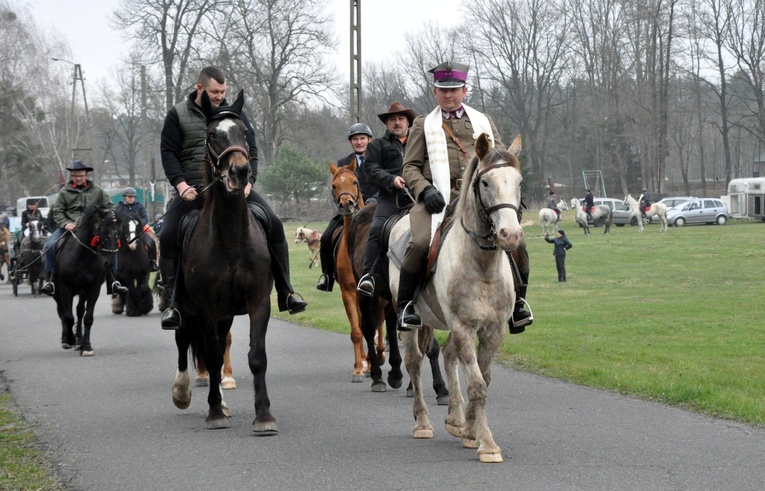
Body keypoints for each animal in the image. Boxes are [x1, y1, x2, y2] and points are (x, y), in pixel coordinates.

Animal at [52, 205, 122, 358]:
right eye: (104, 231)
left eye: (119, 233)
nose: (109, 263)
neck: (83, 258)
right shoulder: (64, 288)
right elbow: (68, 316)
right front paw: (70, 339)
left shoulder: (93, 289)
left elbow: (88, 318)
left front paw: (86, 346)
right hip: (58, 293)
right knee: (62, 312)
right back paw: (67, 340)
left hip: (82, 292)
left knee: (79, 311)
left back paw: (79, 342)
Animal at [172, 90, 276, 432]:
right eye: (212, 135)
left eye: (243, 132)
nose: (239, 172)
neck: (230, 239)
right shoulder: (205, 308)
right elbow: (214, 356)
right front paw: (215, 412)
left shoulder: (258, 302)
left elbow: (256, 356)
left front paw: (264, 416)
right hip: (187, 309)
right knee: (183, 340)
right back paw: (183, 393)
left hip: (226, 314)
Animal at [388, 133, 524, 464]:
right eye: (485, 182)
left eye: (518, 181)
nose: (511, 235)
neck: (481, 265)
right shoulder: (463, 327)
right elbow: (477, 385)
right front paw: (487, 444)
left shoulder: (492, 332)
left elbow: (483, 379)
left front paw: (471, 431)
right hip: (409, 322)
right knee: (414, 363)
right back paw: (423, 423)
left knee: (448, 356)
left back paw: (456, 419)